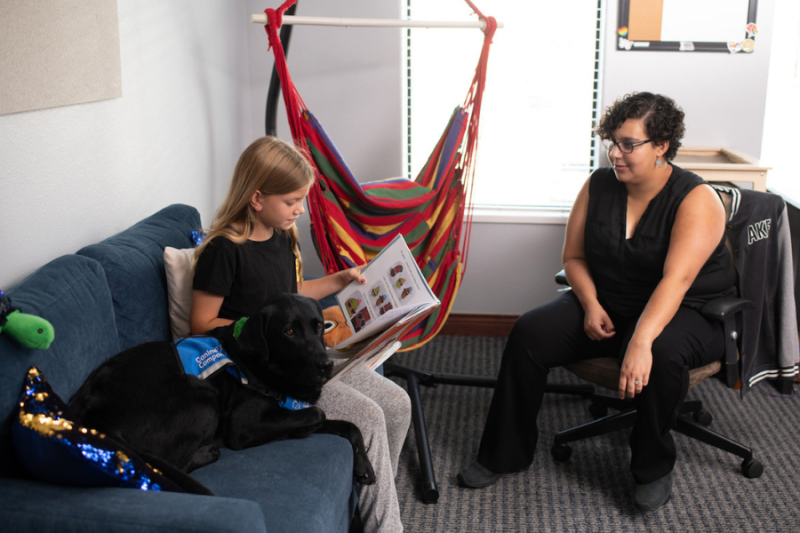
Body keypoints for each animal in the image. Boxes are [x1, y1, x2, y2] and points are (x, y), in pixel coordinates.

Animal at [69, 294, 376, 492]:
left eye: (319, 326)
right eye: (289, 332)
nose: (326, 365)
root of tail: (91, 413)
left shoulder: (292, 408)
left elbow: (349, 426)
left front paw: (364, 465)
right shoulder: (244, 425)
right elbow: (317, 413)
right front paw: (303, 430)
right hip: (203, 400)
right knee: (169, 467)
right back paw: (207, 452)